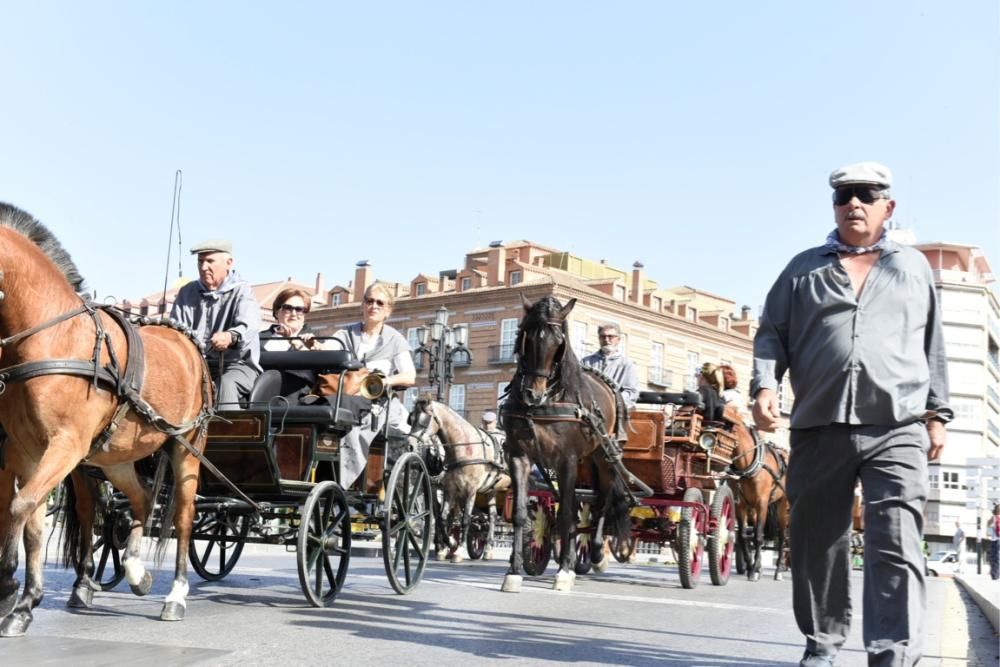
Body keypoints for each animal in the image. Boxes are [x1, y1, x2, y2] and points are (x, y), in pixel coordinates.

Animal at [0, 204, 211, 636]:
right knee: (140, 499)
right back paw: (134, 571)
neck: (53, 339)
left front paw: (10, 589)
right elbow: (30, 519)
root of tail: (190, 344)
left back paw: (176, 594)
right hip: (117, 457)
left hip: (187, 451)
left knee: (182, 517)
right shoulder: (25, 450)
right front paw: (24, 603)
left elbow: (20, 507)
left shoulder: (64, 446)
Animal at [408, 400, 512, 560]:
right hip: (491, 488)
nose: (410, 444)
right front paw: (448, 544)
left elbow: (465, 519)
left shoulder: (470, 490)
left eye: (424, 420)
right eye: (411, 419)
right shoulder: (449, 489)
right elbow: (443, 517)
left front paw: (458, 550)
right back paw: (487, 548)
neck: (465, 447)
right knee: (493, 515)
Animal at [500, 294, 632, 592]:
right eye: (525, 335)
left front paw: (562, 572)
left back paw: (595, 553)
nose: (532, 393)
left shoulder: (567, 460)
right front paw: (514, 571)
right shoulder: (519, 456)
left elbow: (565, 515)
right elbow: (522, 513)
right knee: (579, 506)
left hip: (602, 459)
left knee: (602, 502)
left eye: (559, 341)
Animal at [728, 422, 788, 584]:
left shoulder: (762, 503)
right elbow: (743, 536)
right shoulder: (741, 505)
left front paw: (754, 570)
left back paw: (779, 570)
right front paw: (751, 566)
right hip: (753, 509)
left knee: (782, 537)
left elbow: (758, 537)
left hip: (782, 506)